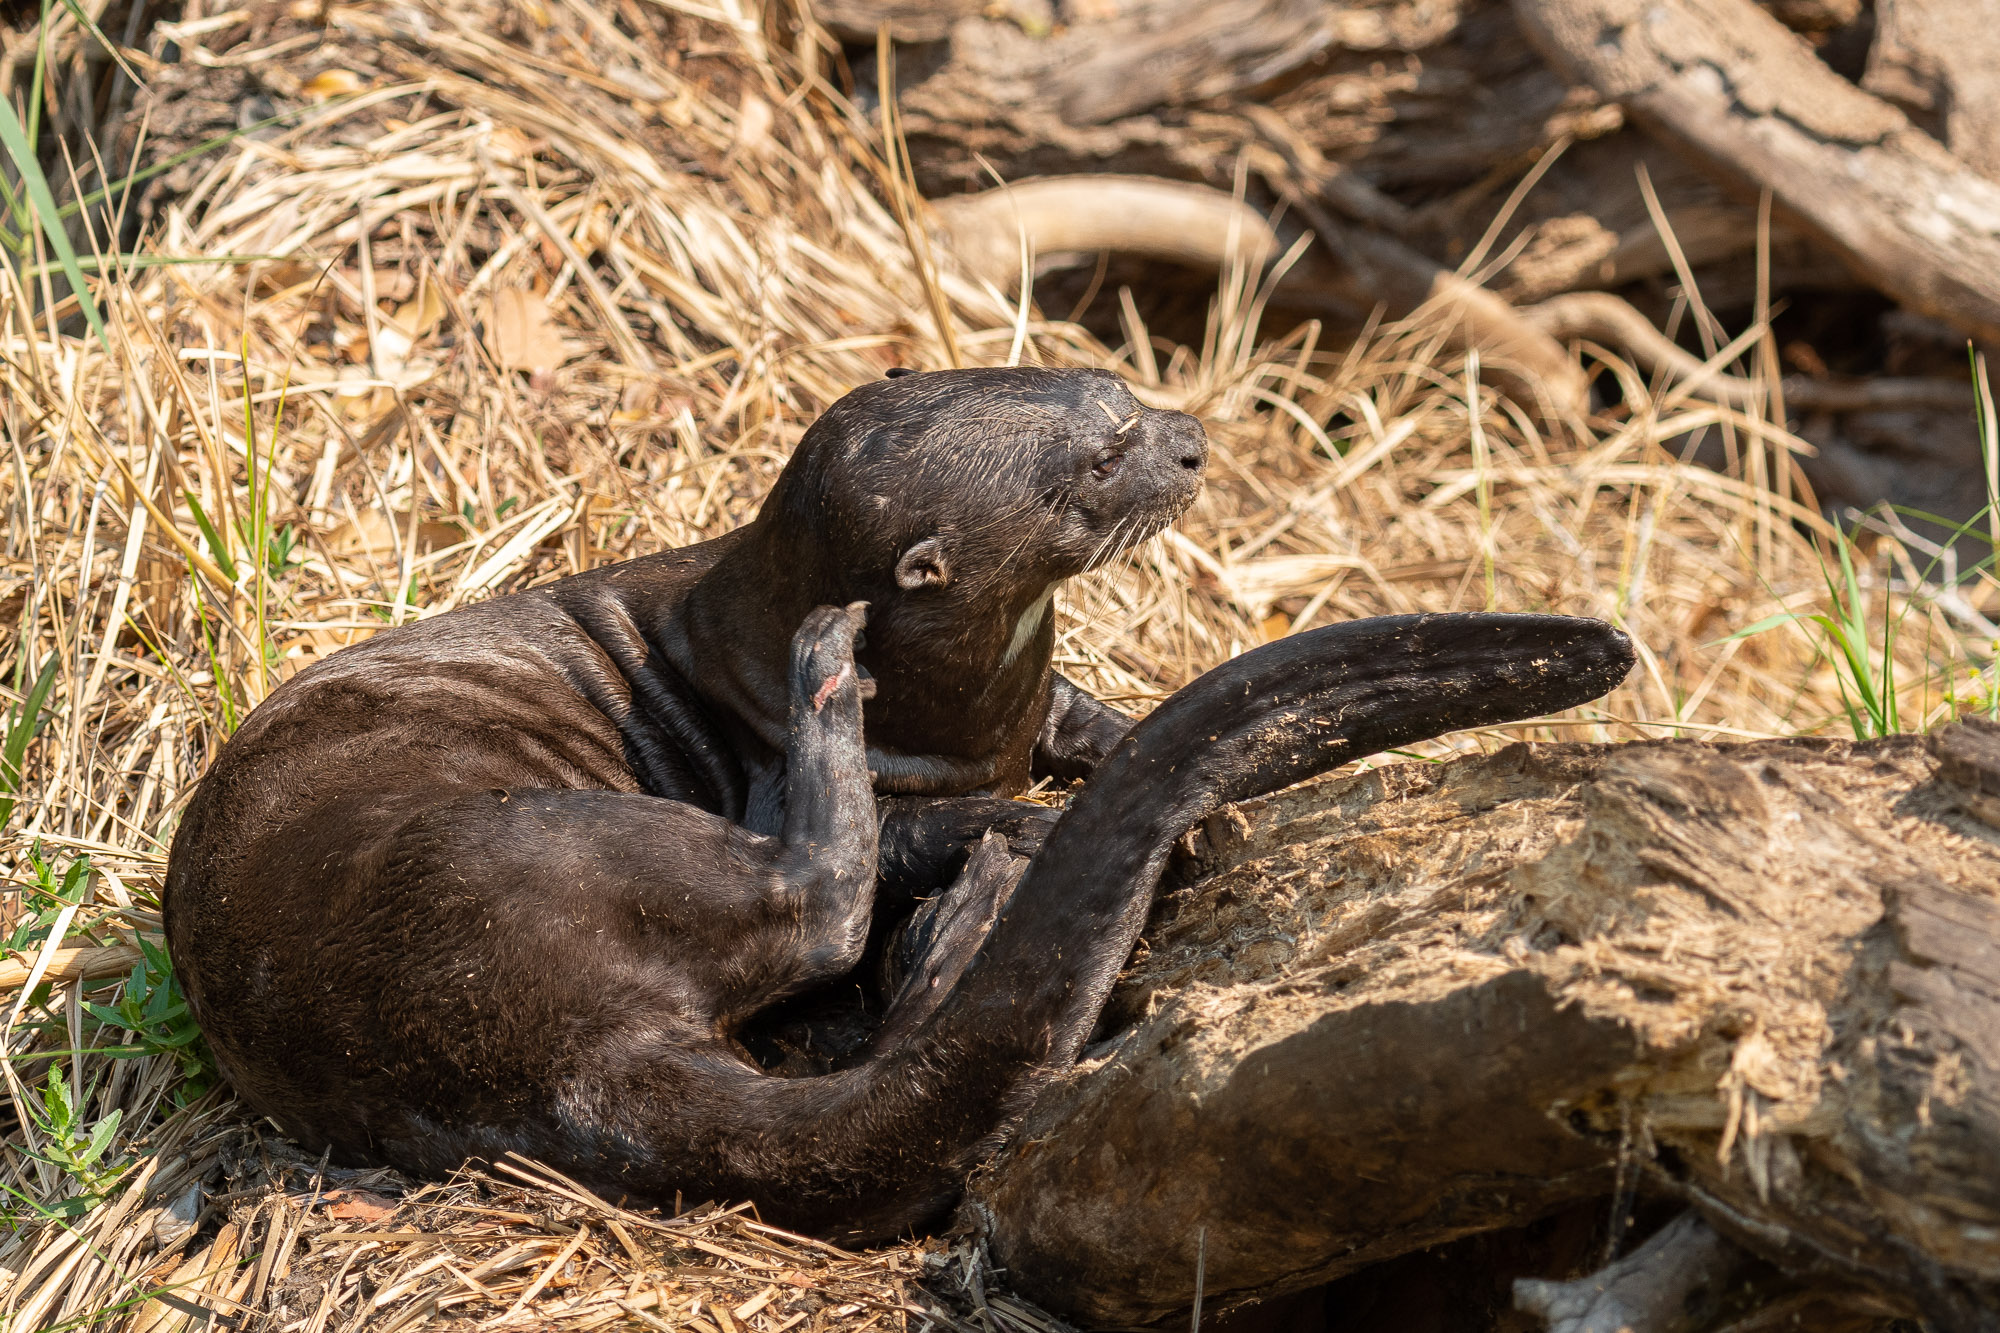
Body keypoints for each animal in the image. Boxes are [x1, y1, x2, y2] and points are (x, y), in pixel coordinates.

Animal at [156, 364, 1624, 1232]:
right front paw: (1031, 815)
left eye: (1117, 385)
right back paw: (862, 725)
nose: (1193, 443)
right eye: (1099, 463)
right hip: (533, 858)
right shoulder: (786, 763)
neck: (971, 705)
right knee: (819, 903)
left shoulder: (1033, 707)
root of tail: (552, 1060)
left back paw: (953, 935)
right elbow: (911, 823)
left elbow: (1095, 721)